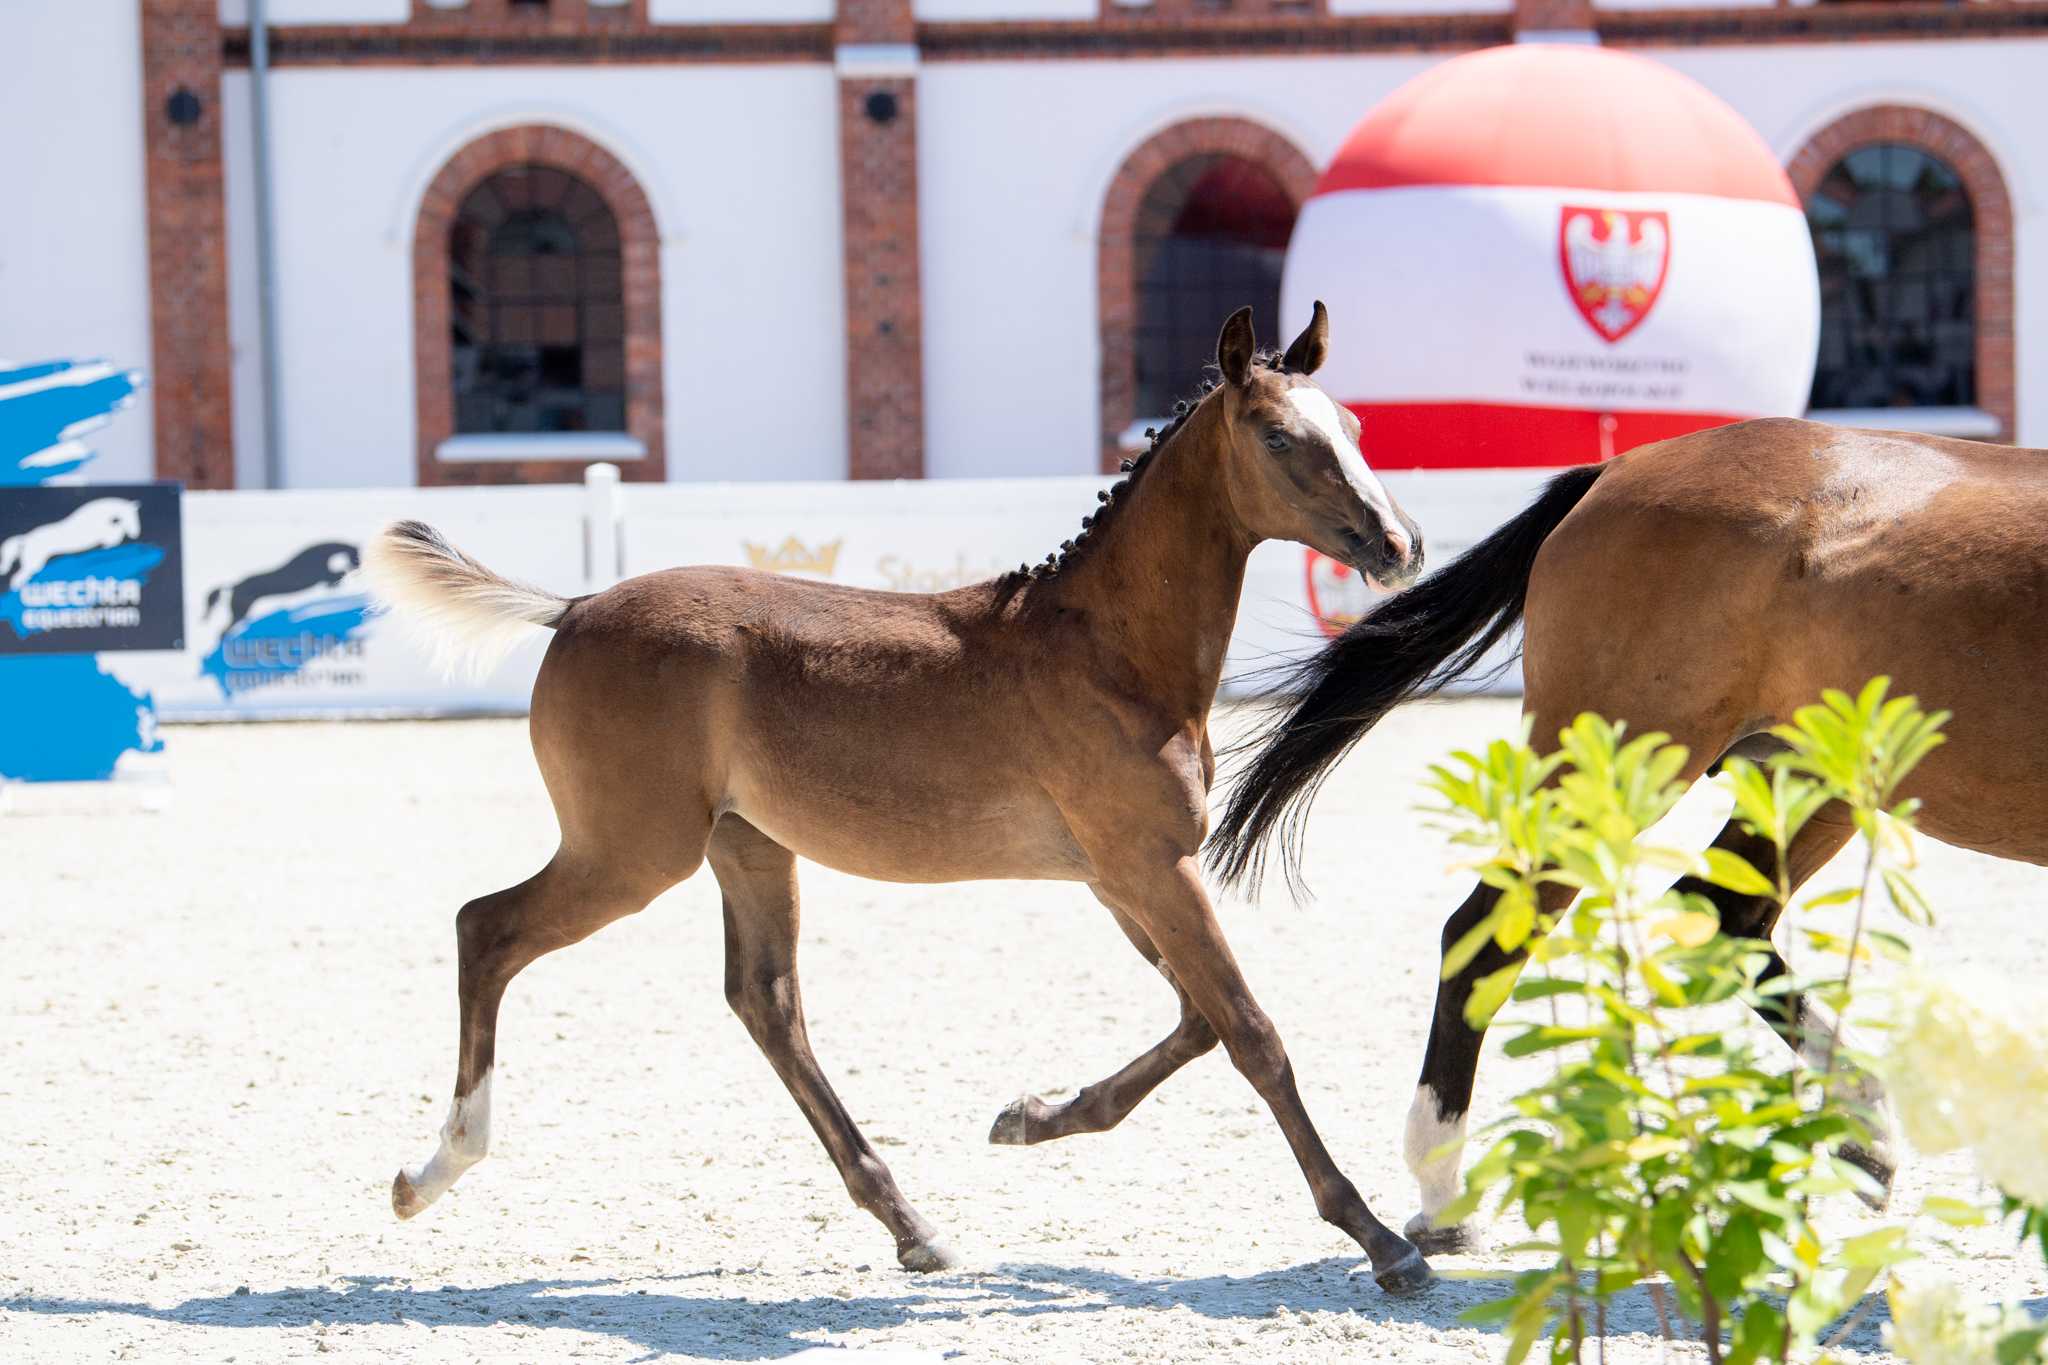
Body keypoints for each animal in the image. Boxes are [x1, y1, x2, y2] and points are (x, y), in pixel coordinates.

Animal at [364, 304, 1438, 1294]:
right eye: (1278, 436)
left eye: (1351, 422)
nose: (1399, 543)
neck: (1110, 649)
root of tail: (576, 606)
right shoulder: (1151, 865)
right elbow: (1252, 1032)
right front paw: (1381, 1238)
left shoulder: (1118, 877)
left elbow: (1201, 1020)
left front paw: (1030, 1117)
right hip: (630, 850)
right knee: (486, 929)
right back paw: (432, 1169)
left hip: (747, 846)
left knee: (767, 1003)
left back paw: (914, 1224)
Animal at [1205, 416, 2048, 1253]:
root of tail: (1614, 472)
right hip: (1619, 765)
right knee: (1485, 934)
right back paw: (1443, 1194)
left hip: (1810, 781)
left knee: (1725, 914)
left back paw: (1864, 1133)